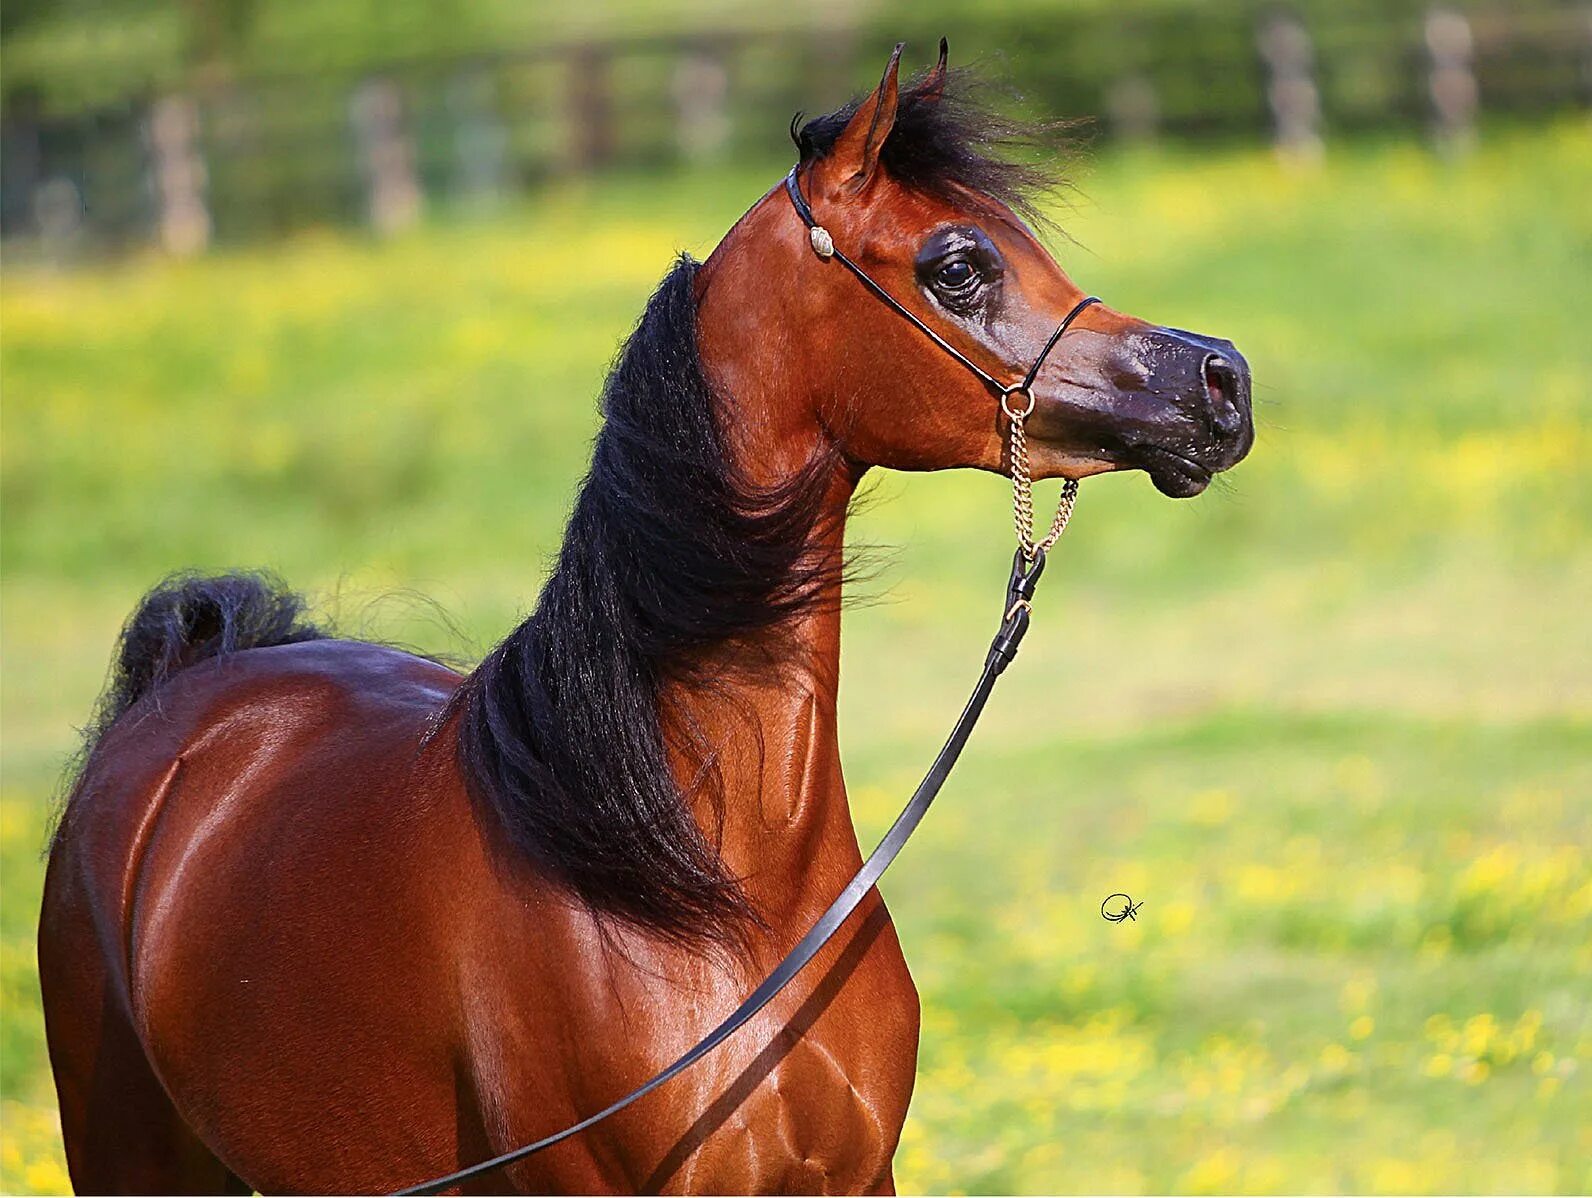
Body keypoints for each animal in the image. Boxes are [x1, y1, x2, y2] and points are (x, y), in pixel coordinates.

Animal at [37, 39, 1248, 1196]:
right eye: (958, 265)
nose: (1220, 380)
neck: (694, 882)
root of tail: (188, 695)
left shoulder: (859, 1178)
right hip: (129, 1154)